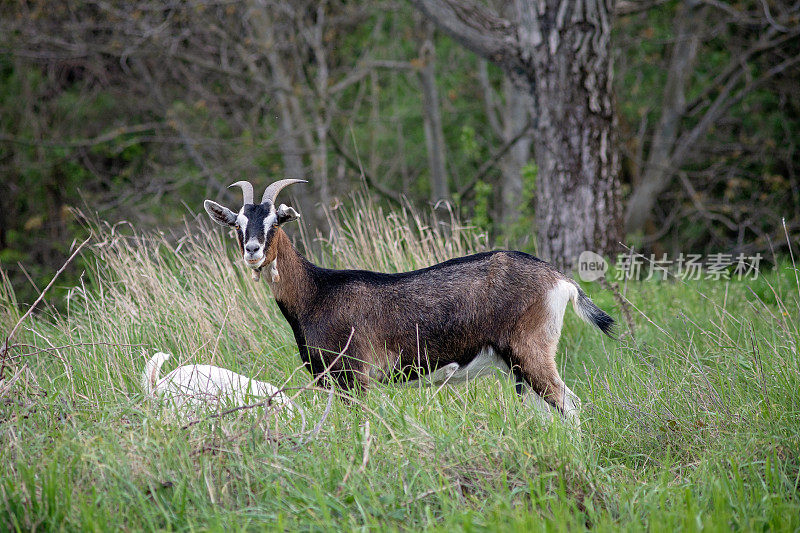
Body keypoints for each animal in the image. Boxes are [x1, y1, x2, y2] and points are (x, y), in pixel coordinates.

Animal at [205, 179, 612, 424]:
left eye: (274, 222)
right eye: (237, 225)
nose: (253, 251)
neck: (316, 293)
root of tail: (560, 280)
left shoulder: (355, 376)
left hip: (531, 350)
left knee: (570, 405)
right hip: (518, 366)